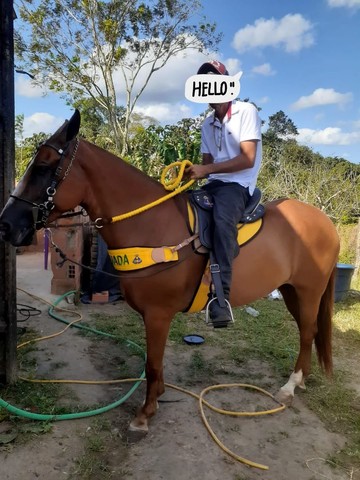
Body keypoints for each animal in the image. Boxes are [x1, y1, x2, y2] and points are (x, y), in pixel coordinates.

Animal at [0, 110, 340, 434]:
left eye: (44, 166)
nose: (6, 225)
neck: (151, 226)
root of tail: (325, 221)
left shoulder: (158, 314)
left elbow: (152, 364)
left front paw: (144, 414)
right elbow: (155, 363)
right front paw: (159, 396)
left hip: (309, 291)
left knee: (307, 331)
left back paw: (290, 386)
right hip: (291, 290)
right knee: (307, 331)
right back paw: (301, 379)